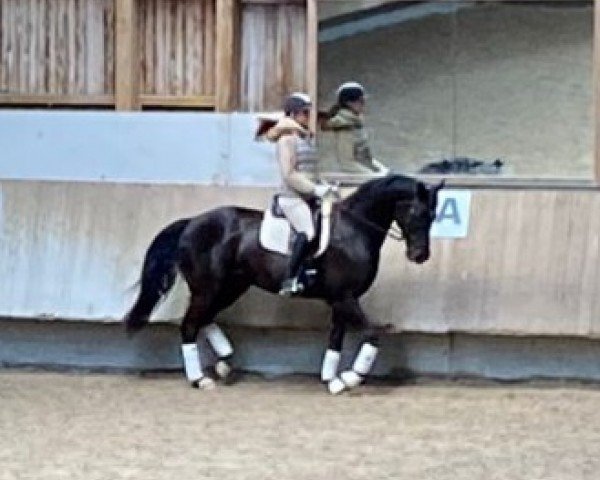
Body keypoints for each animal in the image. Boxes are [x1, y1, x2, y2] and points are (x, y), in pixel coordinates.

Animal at [125, 175, 446, 394]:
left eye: (433, 216)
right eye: (416, 213)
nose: (420, 256)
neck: (354, 229)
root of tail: (192, 222)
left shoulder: (340, 300)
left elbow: (336, 339)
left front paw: (332, 380)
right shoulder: (346, 298)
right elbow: (372, 335)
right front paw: (352, 377)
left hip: (230, 287)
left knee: (204, 319)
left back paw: (224, 363)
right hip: (208, 289)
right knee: (190, 324)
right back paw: (200, 379)